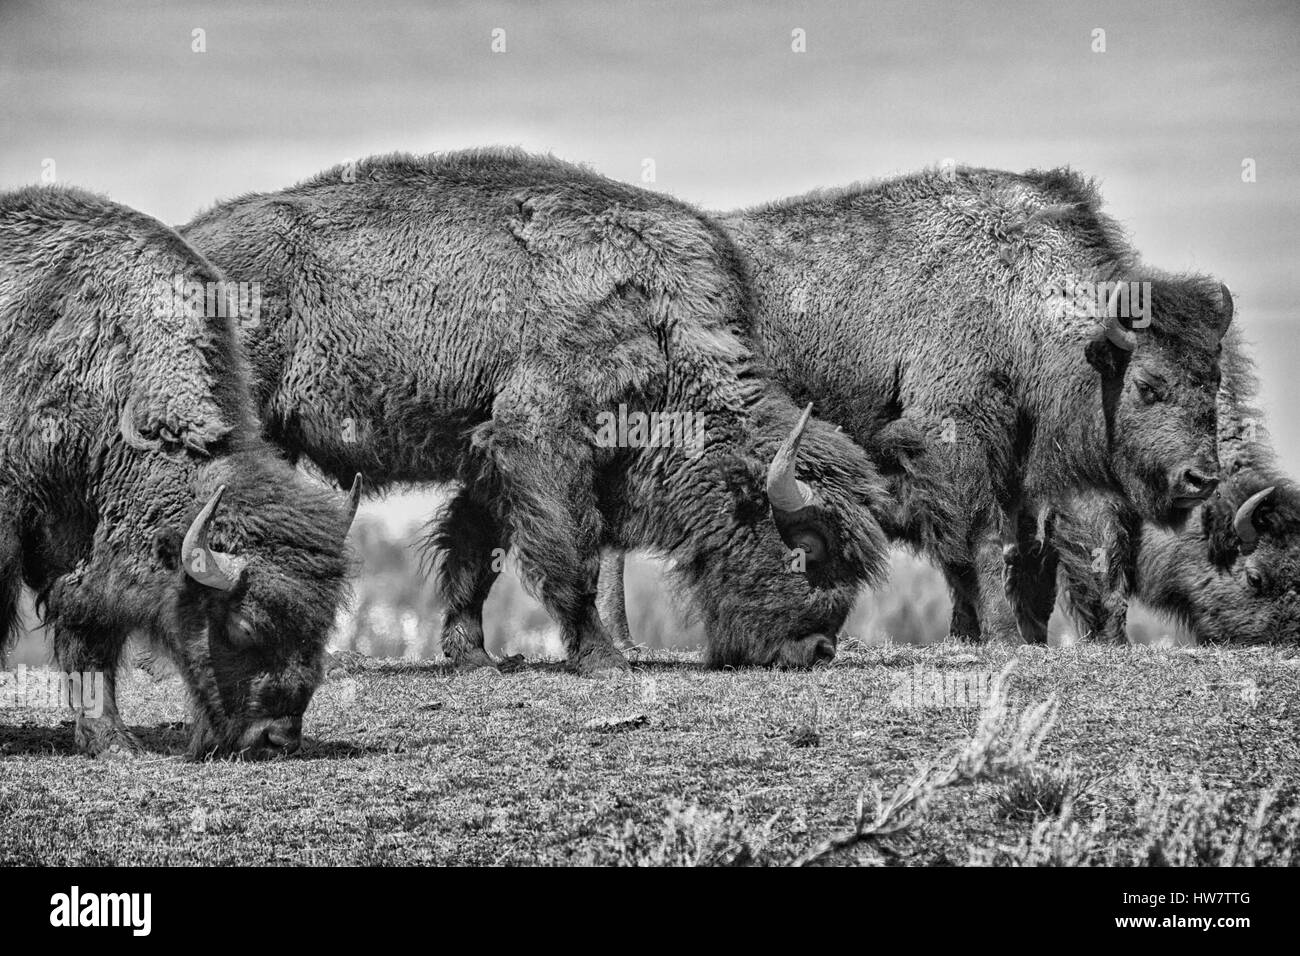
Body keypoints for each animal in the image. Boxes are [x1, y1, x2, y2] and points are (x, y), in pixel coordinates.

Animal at [1, 187, 356, 759]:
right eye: (244, 627)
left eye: (321, 629)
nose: (275, 738)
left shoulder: (88, 556)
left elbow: (89, 640)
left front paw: (112, 741)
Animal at [180, 147, 894, 671]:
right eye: (809, 546)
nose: (817, 649)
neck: (658, 322)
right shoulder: (540, 441)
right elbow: (569, 550)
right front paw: (603, 659)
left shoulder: (488, 453)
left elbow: (475, 552)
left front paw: (476, 657)